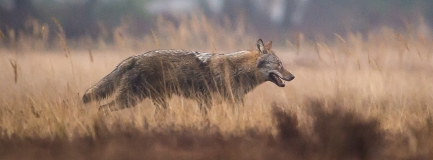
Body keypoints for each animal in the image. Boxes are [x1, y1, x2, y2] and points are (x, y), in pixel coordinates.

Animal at [82, 39, 294, 112]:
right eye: (279, 64)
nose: (292, 77)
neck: (237, 69)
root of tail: (135, 58)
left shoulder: (211, 102)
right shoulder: (216, 101)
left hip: (157, 102)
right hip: (131, 100)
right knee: (102, 108)